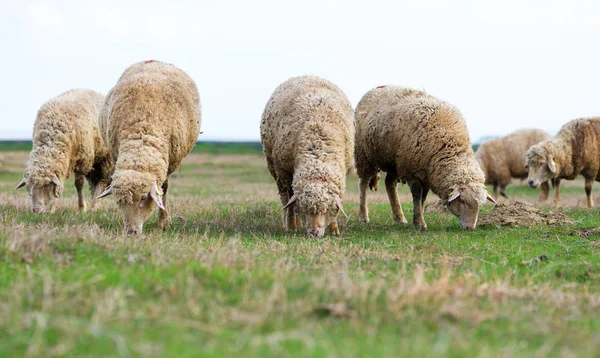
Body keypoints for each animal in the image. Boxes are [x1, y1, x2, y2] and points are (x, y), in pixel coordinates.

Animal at [96, 60, 202, 235]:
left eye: (144, 197)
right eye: (119, 200)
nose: (131, 232)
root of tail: (157, 61)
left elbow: (163, 190)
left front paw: (163, 222)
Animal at [260, 75, 354, 238]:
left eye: (326, 209)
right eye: (303, 208)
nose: (314, 233)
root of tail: (304, 75)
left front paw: (334, 229)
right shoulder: (285, 172)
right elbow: (291, 203)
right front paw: (291, 225)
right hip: (274, 166)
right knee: (285, 198)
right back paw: (290, 223)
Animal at [354, 87, 494, 232]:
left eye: (480, 206)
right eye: (462, 201)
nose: (470, 228)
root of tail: (374, 90)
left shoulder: (426, 174)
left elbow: (423, 198)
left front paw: (418, 218)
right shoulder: (413, 171)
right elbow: (417, 195)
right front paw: (420, 223)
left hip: (394, 161)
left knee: (389, 184)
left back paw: (400, 218)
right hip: (363, 154)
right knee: (363, 183)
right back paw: (363, 217)